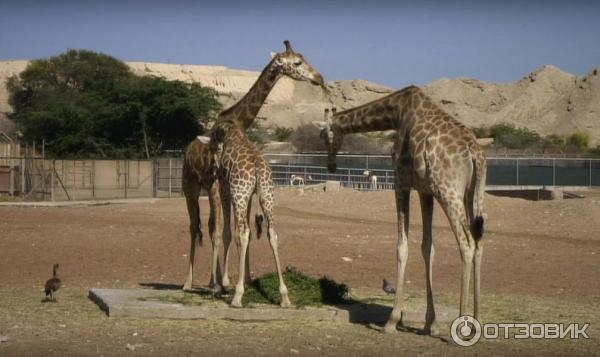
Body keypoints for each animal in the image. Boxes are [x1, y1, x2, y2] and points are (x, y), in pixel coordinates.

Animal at [209, 121, 290, 306]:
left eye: (214, 147)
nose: (213, 169)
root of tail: (258, 168)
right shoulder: (251, 195)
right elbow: (247, 234)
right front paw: (246, 279)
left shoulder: (226, 187)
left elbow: (229, 232)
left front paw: (225, 283)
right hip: (267, 195)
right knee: (272, 233)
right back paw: (284, 296)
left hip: (239, 193)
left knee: (244, 232)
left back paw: (237, 296)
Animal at [318, 85, 488, 334]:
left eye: (323, 136)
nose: (330, 166)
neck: (396, 113)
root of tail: (475, 154)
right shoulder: (425, 191)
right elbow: (428, 247)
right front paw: (431, 324)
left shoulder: (401, 180)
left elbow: (401, 247)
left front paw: (392, 321)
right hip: (472, 195)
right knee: (479, 242)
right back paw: (478, 322)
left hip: (448, 191)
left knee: (466, 243)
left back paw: (463, 324)